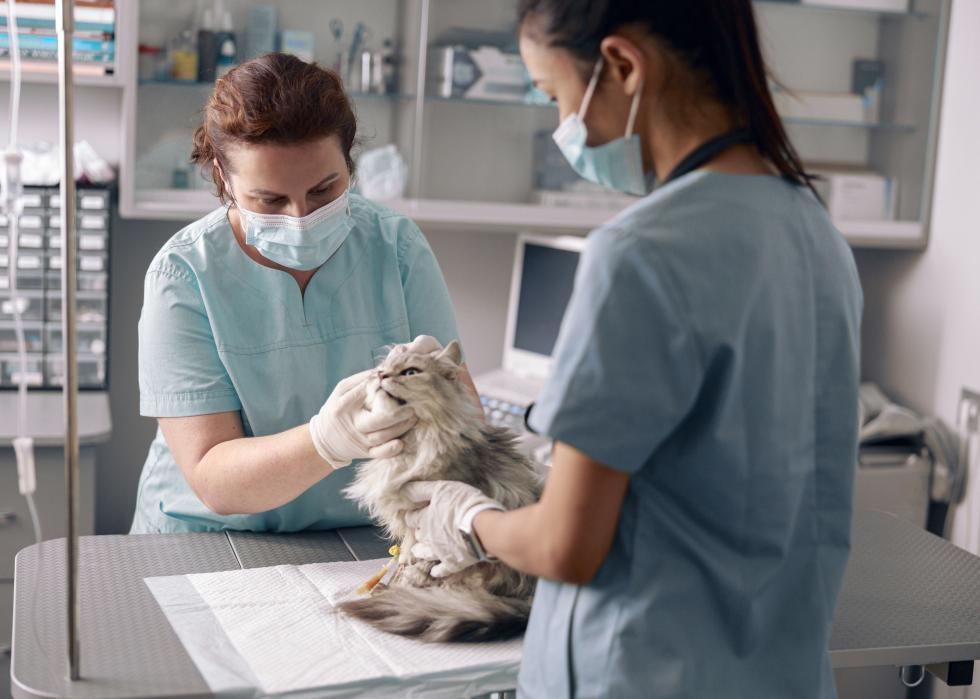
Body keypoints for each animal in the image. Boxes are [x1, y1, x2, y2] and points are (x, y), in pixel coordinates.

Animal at [338, 342, 540, 644]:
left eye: (410, 372)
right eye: (380, 370)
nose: (381, 376)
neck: (414, 443)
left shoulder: (425, 533)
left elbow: (415, 571)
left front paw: (399, 593)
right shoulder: (408, 531)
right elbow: (402, 560)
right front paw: (389, 587)